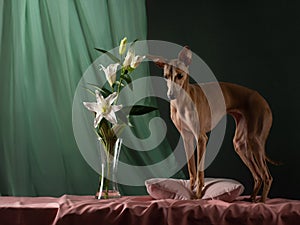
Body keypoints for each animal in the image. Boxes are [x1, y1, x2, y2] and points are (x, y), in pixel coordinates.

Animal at [149, 46, 276, 203]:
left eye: (180, 75)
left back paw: (262, 202)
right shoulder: (187, 138)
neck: (182, 101)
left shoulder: (201, 138)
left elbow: (199, 171)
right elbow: (192, 169)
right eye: (166, 76)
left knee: (267, 176)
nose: (171, 95)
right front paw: (190, 192)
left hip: (255, 140)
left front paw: (198, 196)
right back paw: (252, 199)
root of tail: (261, 98)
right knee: (258, 176)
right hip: (240, 144)